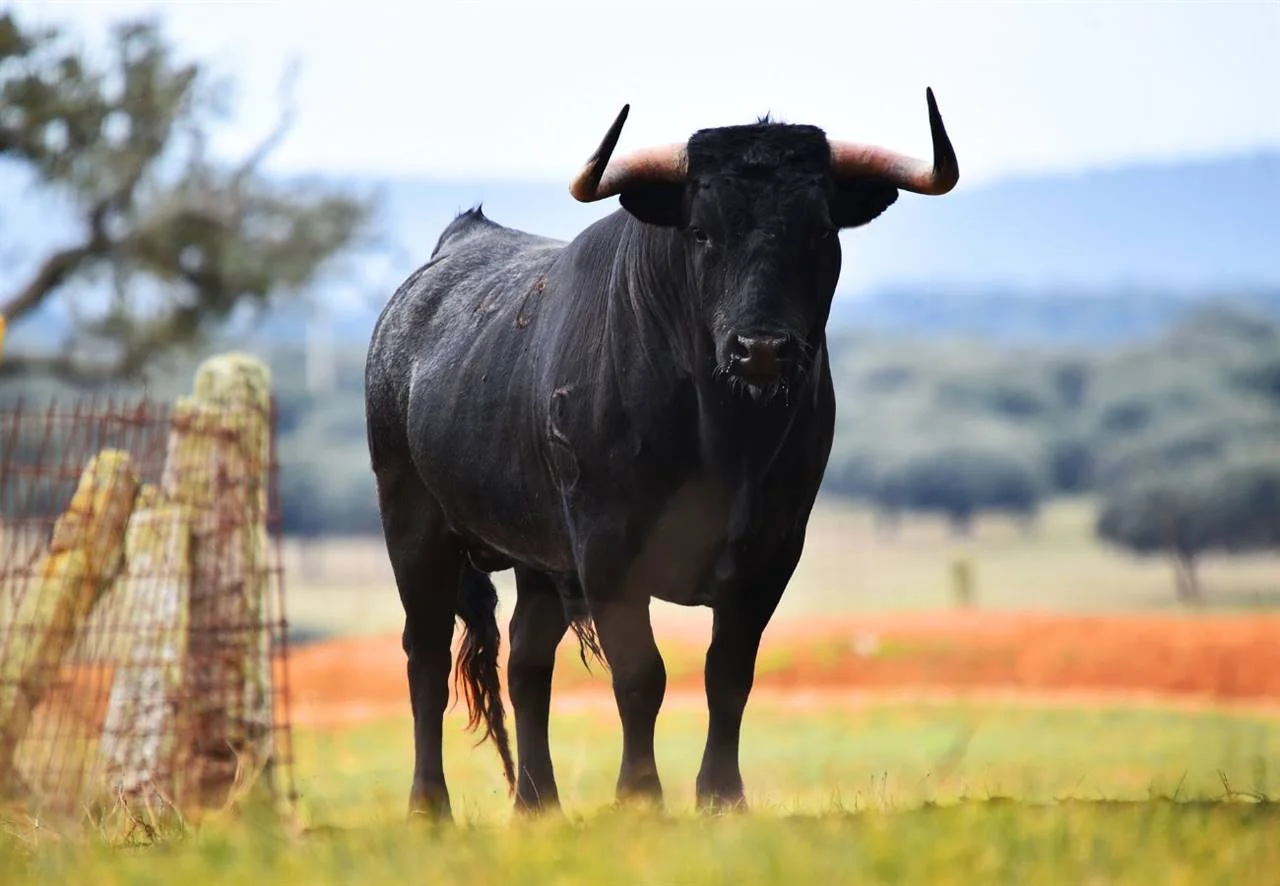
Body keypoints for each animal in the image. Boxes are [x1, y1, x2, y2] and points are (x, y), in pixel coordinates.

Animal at [366, 88, 957, 814]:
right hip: (413, 523)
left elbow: (729, 674)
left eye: (820, 230)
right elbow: (641, 675)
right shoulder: (609, 549)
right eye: (701, 231)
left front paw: (722, 797)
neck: (724, 439)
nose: (761, 349)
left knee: (527, 662)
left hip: (538, 556)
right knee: (423, 654)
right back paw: (430, 807)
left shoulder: (770, 549)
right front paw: (641, 796)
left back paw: (537, 805)